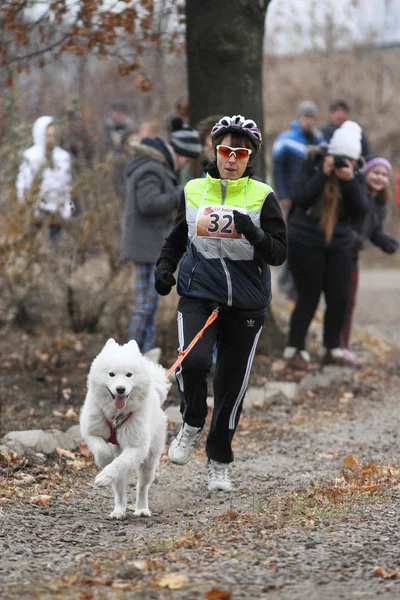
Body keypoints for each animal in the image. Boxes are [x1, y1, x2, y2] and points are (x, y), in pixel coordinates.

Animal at [79, 340, 170, 516]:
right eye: (111, 374)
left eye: (129, 375)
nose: (120, 389)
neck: (116, 416)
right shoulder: (91, 432)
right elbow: (102, 450)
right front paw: (104, 461)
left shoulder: (137, 447)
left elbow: (119, 463)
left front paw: (103, 476)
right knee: (119, 489)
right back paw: (119, 511)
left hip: (149, 462)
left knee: (142, 487)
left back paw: (141, 509)